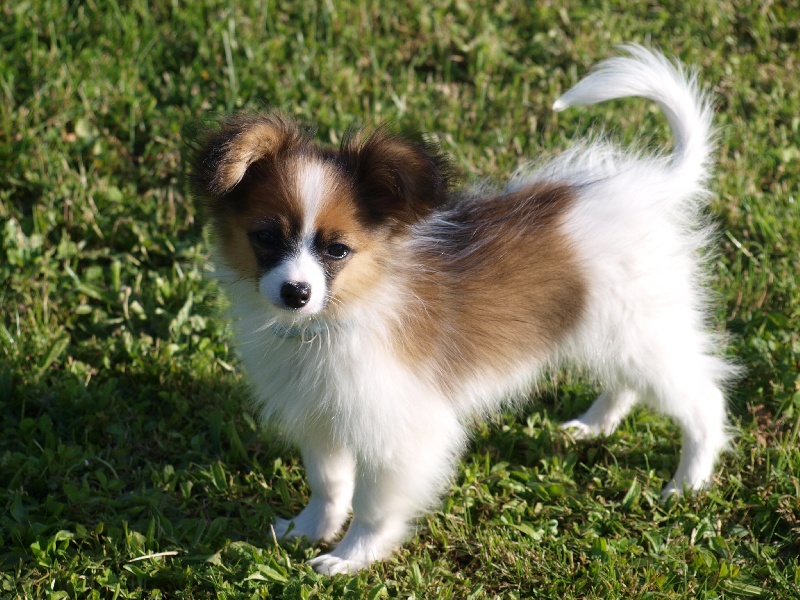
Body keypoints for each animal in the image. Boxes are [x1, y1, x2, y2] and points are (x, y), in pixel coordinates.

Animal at [190, 46, 734, 575]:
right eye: (265, 237)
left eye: (338, 250)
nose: (296, 293)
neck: (334, 320)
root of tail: (649, 187)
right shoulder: (320, 416)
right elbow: (329, 483)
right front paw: (308, 530)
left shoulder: (397, 431)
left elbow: (372, 504)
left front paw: (352, 557)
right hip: (612, 334)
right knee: (625, 382)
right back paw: (595, 425)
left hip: (641, 330)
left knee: (702, 401)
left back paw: (687, 481)